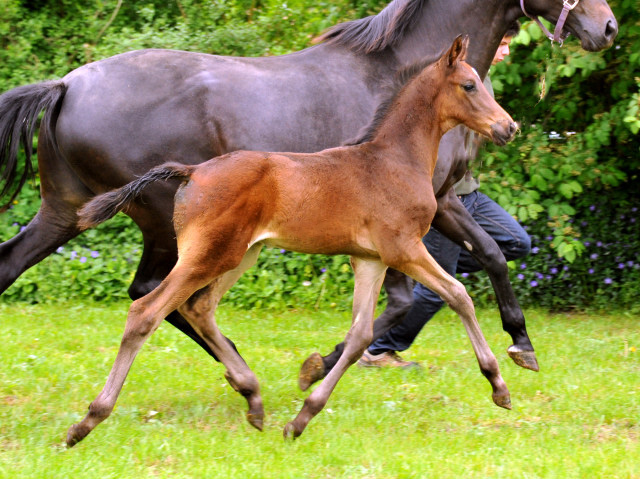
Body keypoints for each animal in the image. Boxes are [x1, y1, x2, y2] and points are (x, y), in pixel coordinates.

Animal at [72, 36, 516, 446]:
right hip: (208, 256)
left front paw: (302, 416)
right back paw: (88, 421)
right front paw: (498, 386)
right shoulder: (404, 249)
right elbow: (459, 294)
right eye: (469, 85)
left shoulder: (370, 259)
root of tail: (192, 171)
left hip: (240, 255)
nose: (508, 127)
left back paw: (253, 399)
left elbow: (360, 335)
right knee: (146, 311)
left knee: (199, 308)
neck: (395, 160)